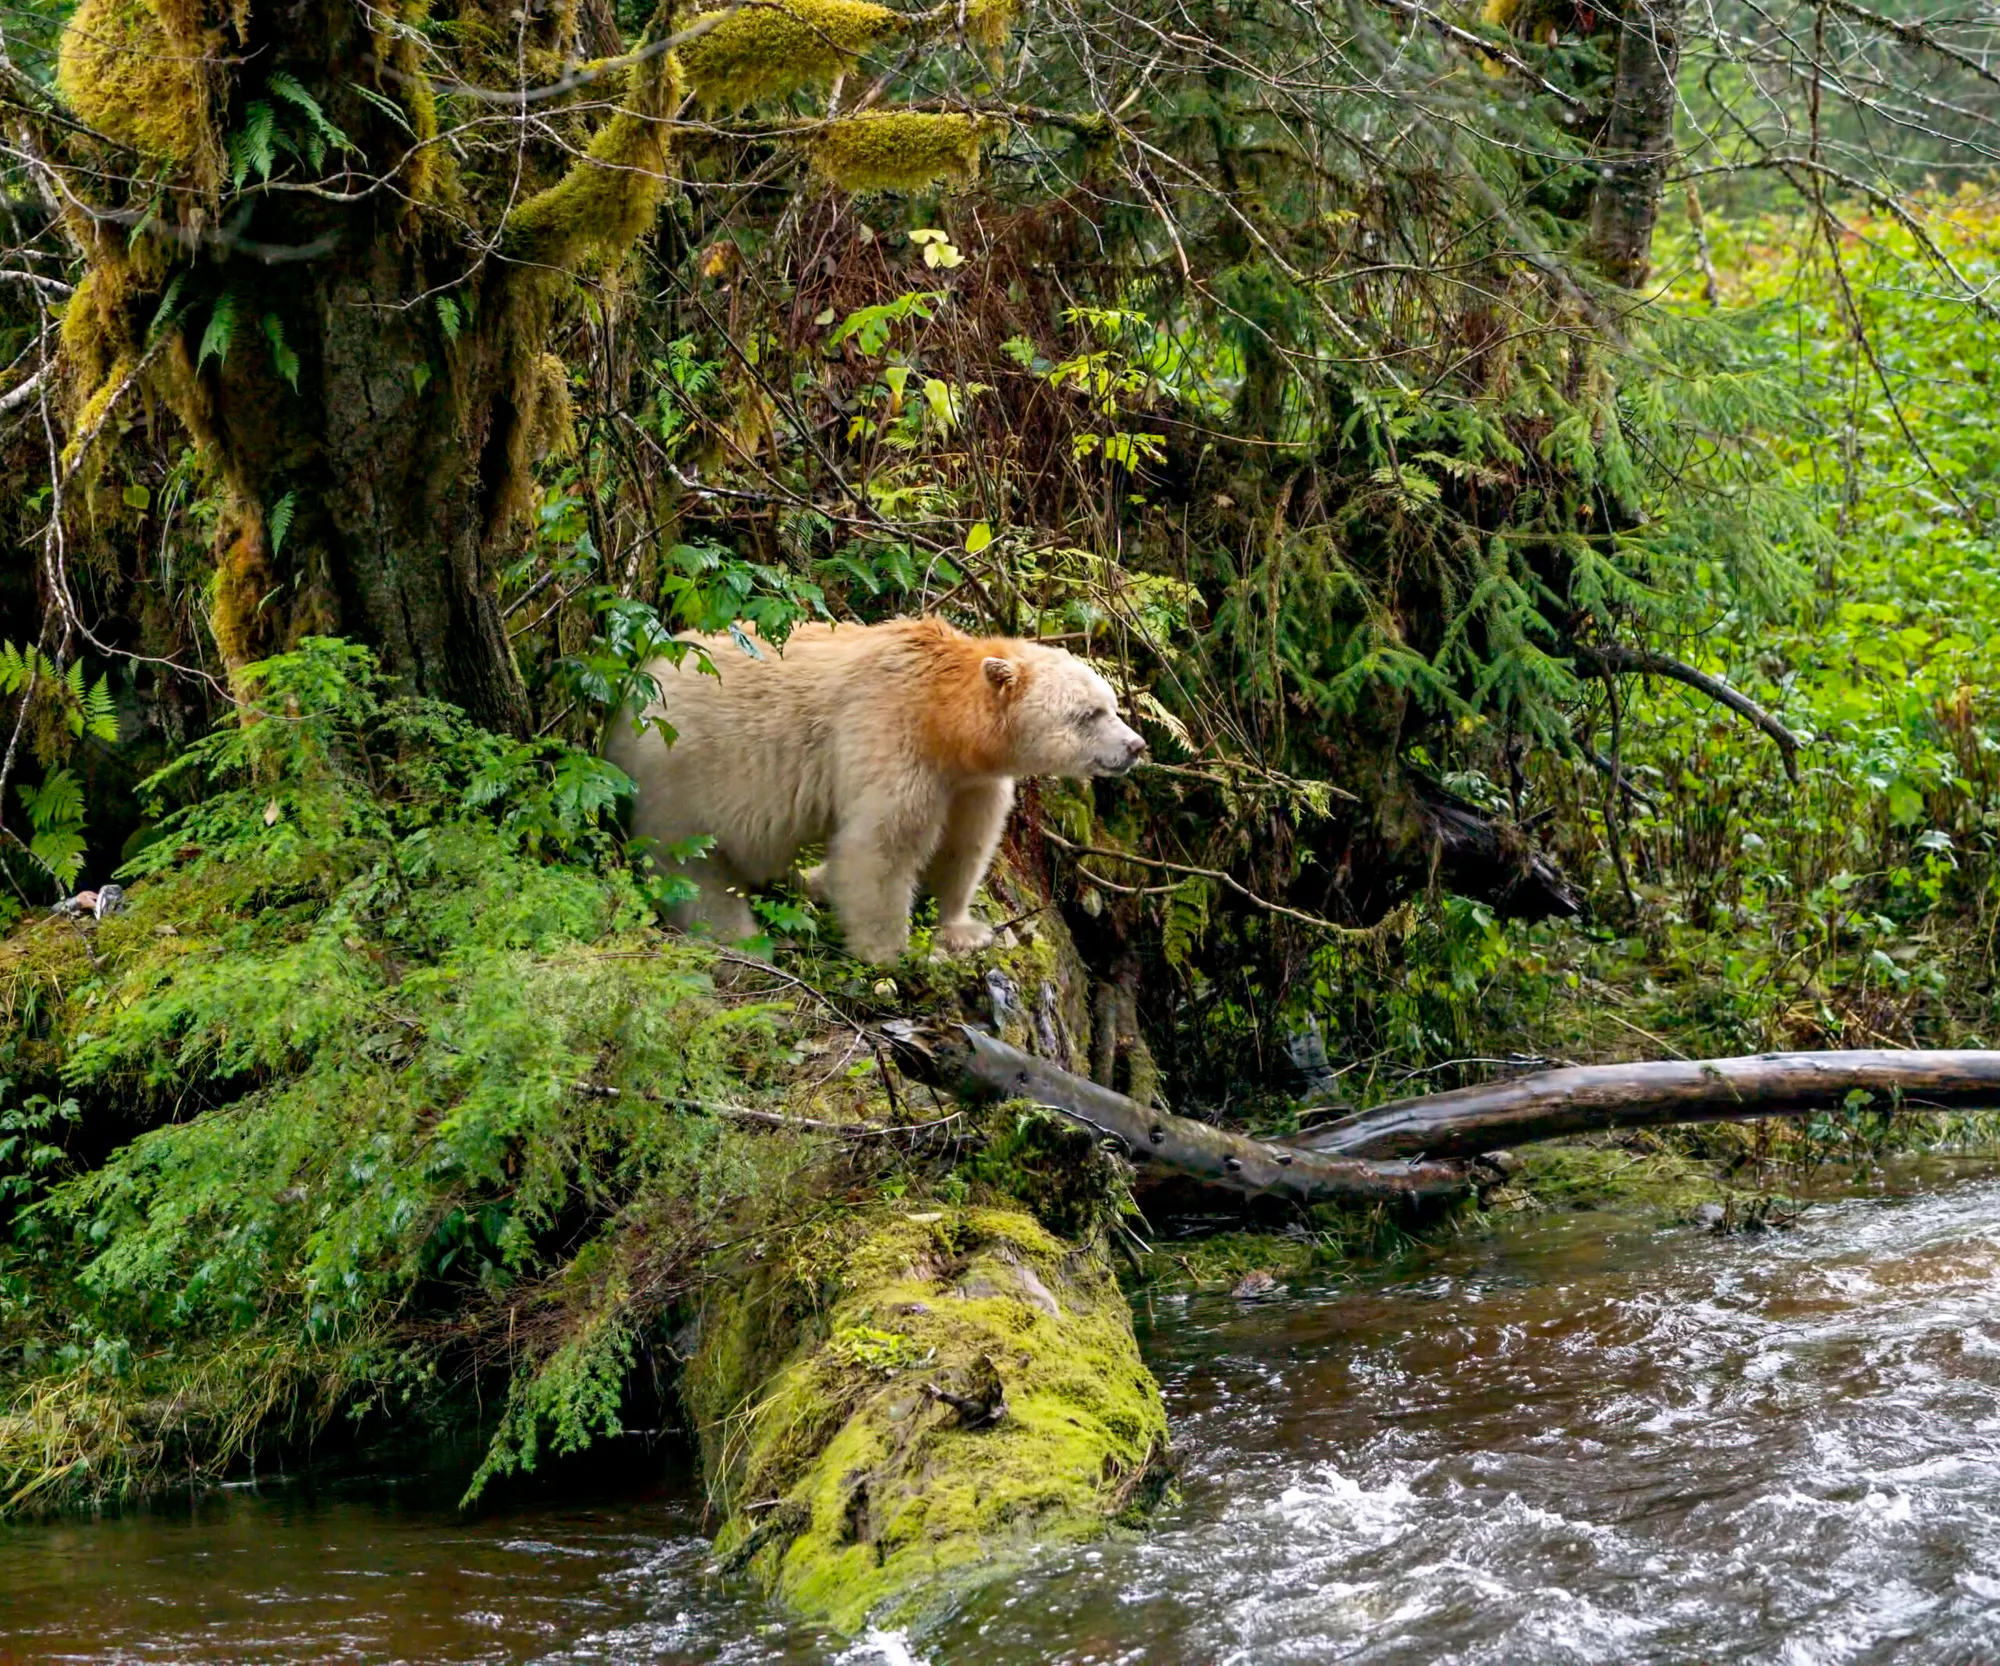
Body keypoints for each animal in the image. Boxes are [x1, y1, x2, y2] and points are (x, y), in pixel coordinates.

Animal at [604, 617, 1147, 962]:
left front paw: (963, 930)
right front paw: (892, 953)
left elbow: (963, 846)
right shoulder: (889, 734)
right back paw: (742, 936)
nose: (1136, 746)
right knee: (689, 863)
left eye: (1112, 704)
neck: (944, 717)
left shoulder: (970, 782)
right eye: (1088, 713)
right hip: (683, 767)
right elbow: (882, 846)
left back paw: (807, 882)